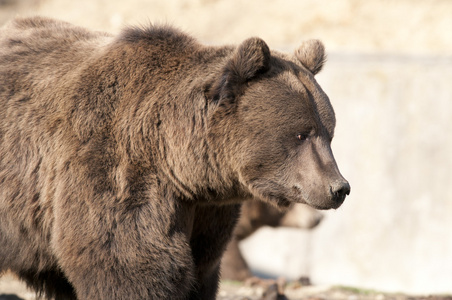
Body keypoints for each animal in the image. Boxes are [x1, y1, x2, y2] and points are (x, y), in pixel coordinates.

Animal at [0, 17, 350, 300]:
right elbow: (131, 263)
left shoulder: (207, 210)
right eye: (301, 134)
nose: (339, 188)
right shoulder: (117, 172)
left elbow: (203, 265)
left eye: (329, 133)